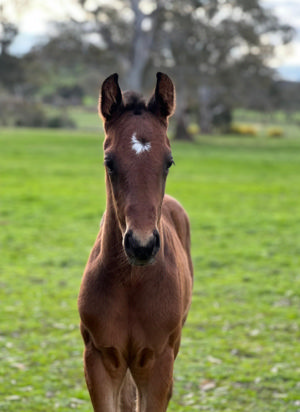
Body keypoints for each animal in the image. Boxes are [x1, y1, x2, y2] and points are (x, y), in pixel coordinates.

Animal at [77, 72, 193, 410]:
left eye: (169, 161)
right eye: (109, 161)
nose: (141, 245)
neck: (131, 282)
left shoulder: (157, 362)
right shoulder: (100, 358)